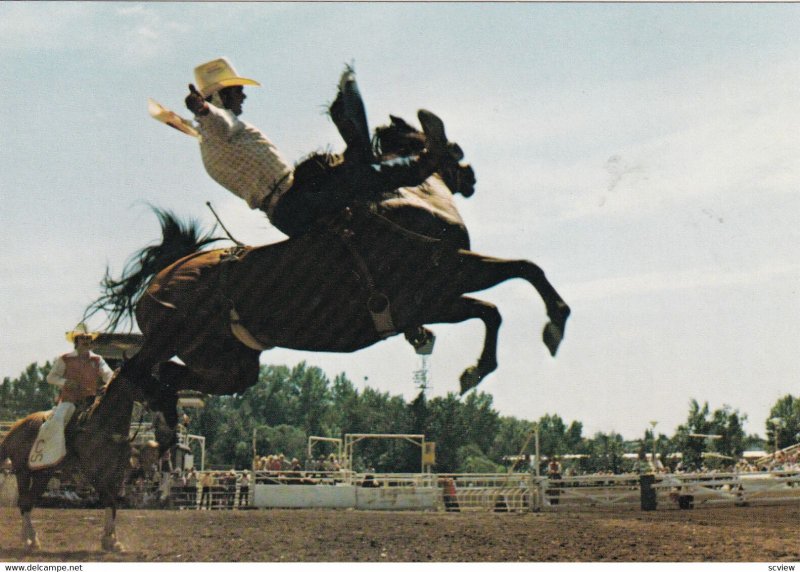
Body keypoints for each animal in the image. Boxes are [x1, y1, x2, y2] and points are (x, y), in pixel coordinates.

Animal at [0, 374, 149, 552]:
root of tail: (13, 430)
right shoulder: (93, 472)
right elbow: (109, 499)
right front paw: (109, 540)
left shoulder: (116, 473)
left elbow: (112, 503)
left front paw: (112, 541)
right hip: (23, 472)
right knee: (23, 502)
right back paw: (29, 541)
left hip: (42, 474)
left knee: (29, 501)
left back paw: (32, 540)